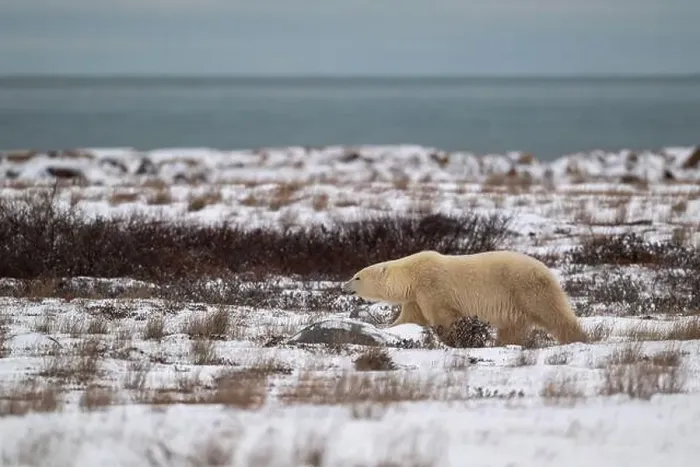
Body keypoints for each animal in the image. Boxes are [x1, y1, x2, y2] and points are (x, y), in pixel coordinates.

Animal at [341, 250, 587, 346]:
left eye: (357, 276)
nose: (343, 287)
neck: (412, 273)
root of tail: (547, 270)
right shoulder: (416, 297)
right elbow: (410, 317)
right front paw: (387, 329)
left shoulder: (432, 287)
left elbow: (443, 316)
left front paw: (452, 339)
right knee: (512, 326)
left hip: (526, 288)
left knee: (553, 314)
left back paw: (577, 338)